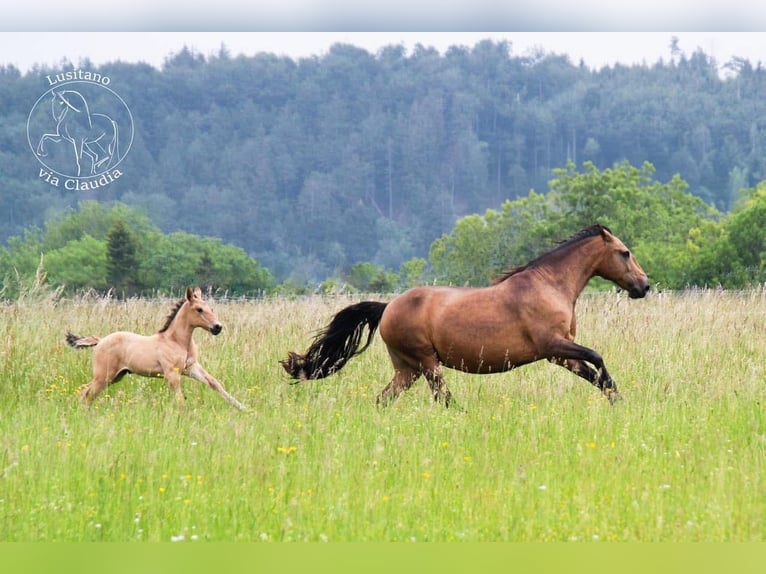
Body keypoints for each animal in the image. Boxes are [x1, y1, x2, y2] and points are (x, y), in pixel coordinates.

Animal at [67, 286, 246, 412]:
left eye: (211, 309)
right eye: (199, 309)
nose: (217, 327)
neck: (177, 341)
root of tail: (100, 341)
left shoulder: (191, 367)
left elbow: (214, 383)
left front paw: (244, 408)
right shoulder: (172, 374)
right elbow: (180, 398)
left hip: (116, 376)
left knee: (85, 392)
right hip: (104, 376)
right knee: (87, 394)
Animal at [284, 226, 652, 410]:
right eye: (625, 253)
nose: (644, 286)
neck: (550, 285)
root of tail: (387, 307)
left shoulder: (559, 355)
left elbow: (594, 375)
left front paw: (619, 401)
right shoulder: (553, 345)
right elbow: (597, 357)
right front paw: (618, 396)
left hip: (407, 368)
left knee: (384, 398)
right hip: (426, 362)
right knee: (442, 398)